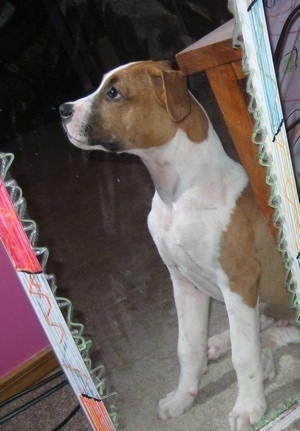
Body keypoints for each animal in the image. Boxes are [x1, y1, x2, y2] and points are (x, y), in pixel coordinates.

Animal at [59, 60, 298, 431]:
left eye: (113, 92)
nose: (63, 110)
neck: (179, 194)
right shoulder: (183, 282)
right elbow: (188, 347)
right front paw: (182, 397)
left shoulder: (238, 280)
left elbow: (244, 356)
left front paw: (249, 406)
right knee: (266, 329)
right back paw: (229, 344)